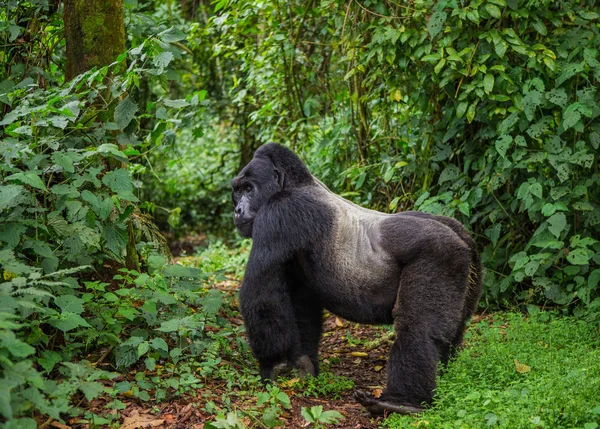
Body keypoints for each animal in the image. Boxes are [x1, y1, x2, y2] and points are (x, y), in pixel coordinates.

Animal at [230, 143, 482, 414]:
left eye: (248, 189)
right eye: (237, 191)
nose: (237, 210)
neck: (294, 183)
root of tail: (462, 238)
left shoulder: (281, 213)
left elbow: (261, 294)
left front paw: (275, 365)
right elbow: (302, 305)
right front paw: (303, 362)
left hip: (441, 253)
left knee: (416, 328)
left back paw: (401, 402)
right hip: (468, 264)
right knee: (454, 327)